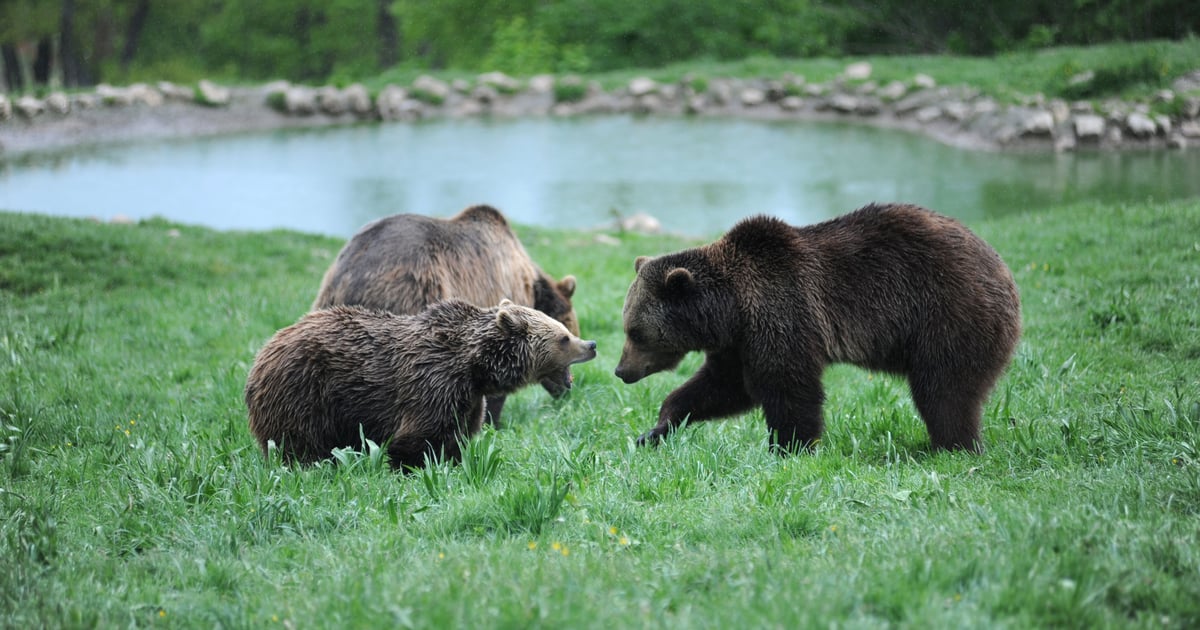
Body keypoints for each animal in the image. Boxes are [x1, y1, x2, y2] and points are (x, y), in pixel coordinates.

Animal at [245, 299, 597, 470]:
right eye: (564, 337)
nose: (591, 344)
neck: (475, 368)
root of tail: (263, 352)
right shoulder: (431, 384)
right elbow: (415, 438)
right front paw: (411, 468)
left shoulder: (467, 399)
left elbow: (457, 437)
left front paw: (452, 463)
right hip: (305, 391)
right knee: (299, 443)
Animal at [614, 202, 1021, 454]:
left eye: (635, 331)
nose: (621, 370)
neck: (730, 308)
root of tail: (1003, 269)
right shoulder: (739, 342)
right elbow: (723, 386)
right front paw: (657, 428)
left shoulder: (783, 310)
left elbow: (788, 386)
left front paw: (789, 447)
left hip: (949, 315)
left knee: (944, 390)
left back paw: (952, 445)